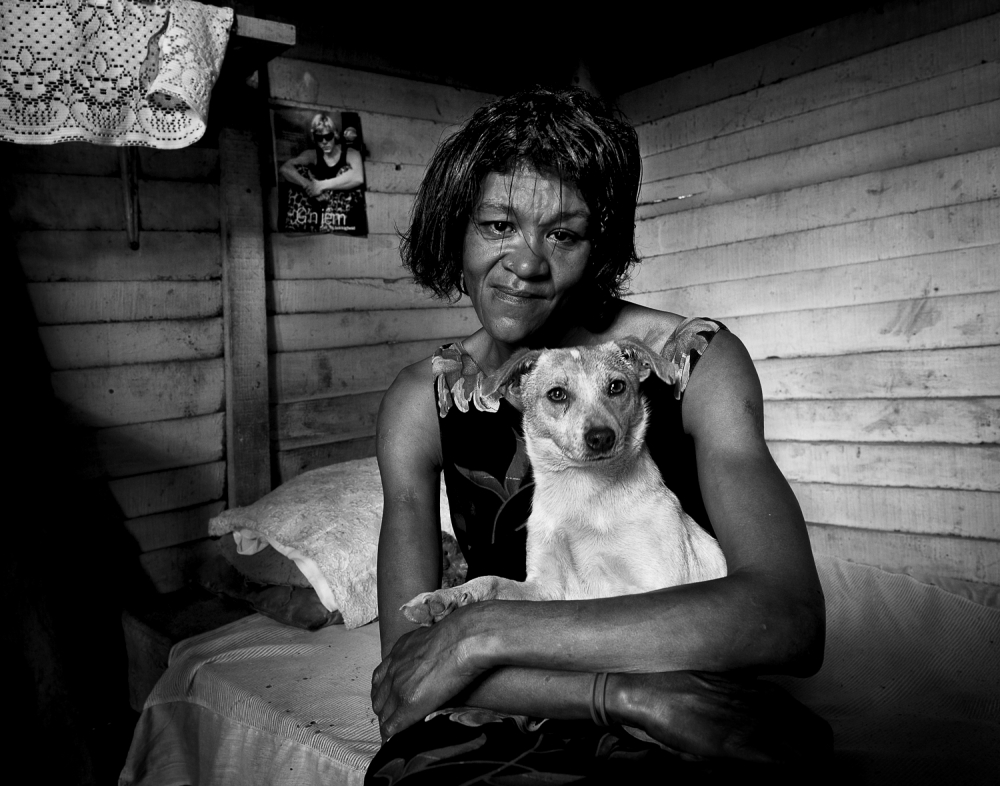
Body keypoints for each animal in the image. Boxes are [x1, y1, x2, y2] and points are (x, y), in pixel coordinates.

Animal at [402, 335, 726, 626]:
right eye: (557, 394)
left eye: (616, 387)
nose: (601, 437)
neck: (582, 492)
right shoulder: (545, 588)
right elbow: (491, 580)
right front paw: (444, 596)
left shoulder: (659, 586)